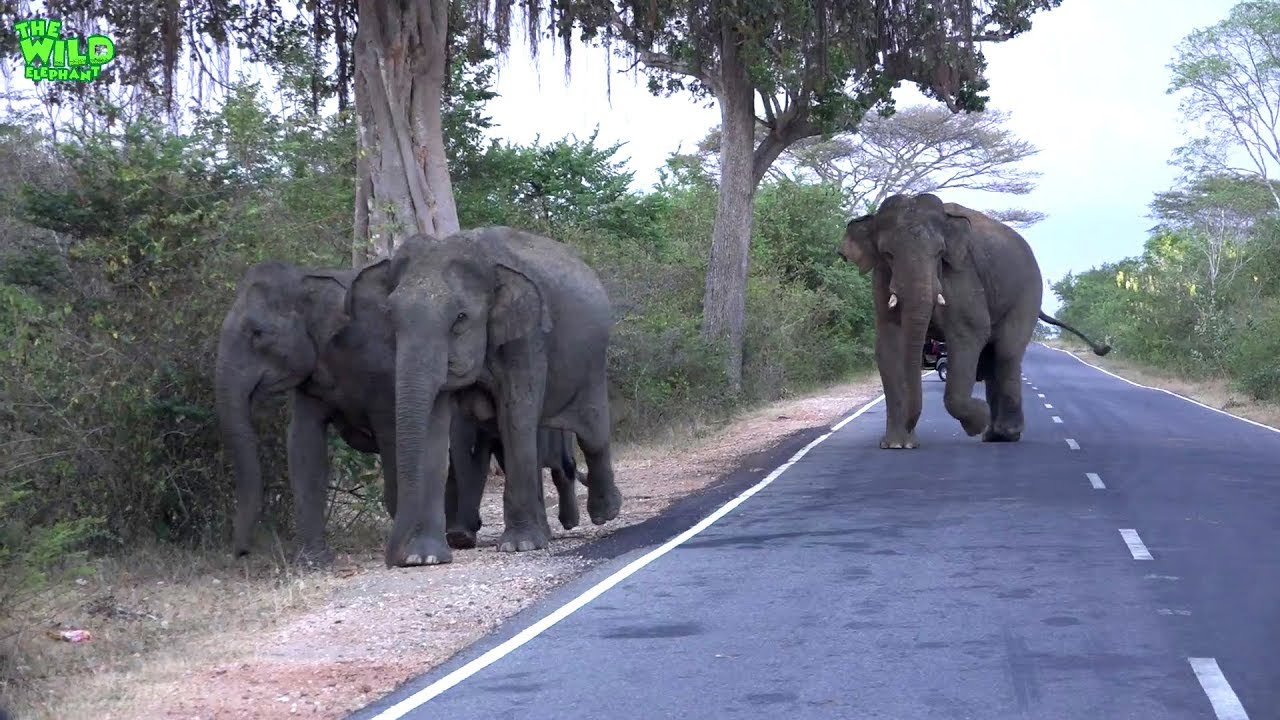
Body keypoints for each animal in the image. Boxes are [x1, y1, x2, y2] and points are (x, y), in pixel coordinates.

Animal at [215, 259, 589, 563]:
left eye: (257, 333)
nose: (242, 552)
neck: (311, 278)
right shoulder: (313, 381)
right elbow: (303, 447)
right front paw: (312, 563)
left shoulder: (383, 373)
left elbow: (392, 439)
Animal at [345, 226, 624, 567]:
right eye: (389, 316)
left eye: (460, 318)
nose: (394, 558)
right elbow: (435, 427)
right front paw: (424, 557)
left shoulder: (527, 338)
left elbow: (516, 415)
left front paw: (520, 546)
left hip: (592, 363)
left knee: (592, 433)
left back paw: (604, 514)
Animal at [836, 193, 1110, 449]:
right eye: (888, 254)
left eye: (940, 253)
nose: (910, 427)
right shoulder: (881, 279)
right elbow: (889, 344)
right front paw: (896, 445)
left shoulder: (962, 275)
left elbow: (969, 334)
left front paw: (977, 420)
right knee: (991, 359)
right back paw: (993, 435)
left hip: (1027, 293)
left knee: (1006, 353)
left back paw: (1004, 434)